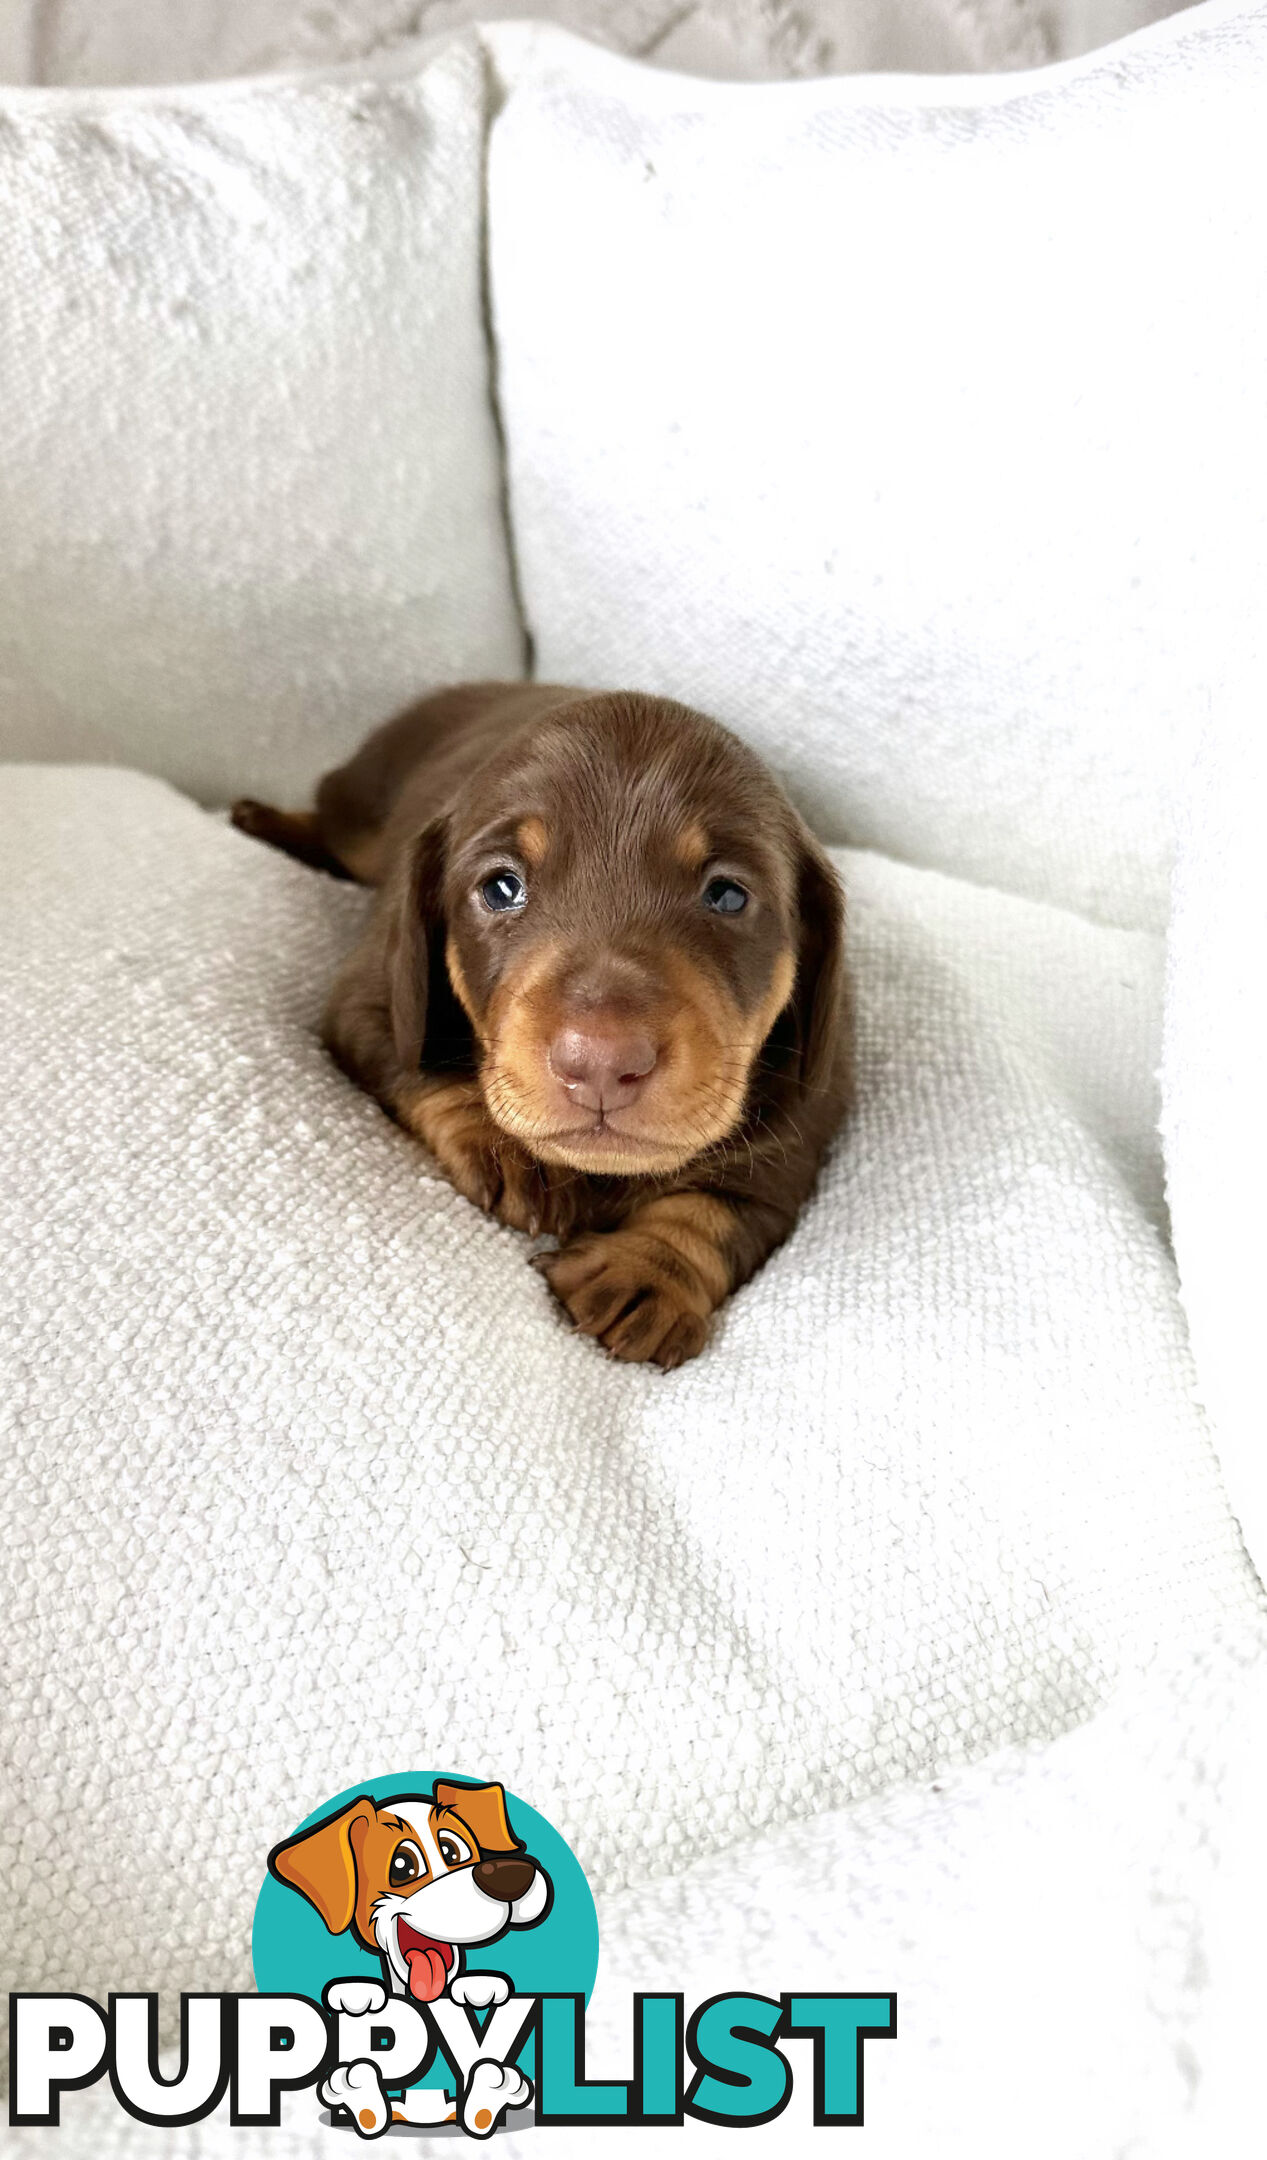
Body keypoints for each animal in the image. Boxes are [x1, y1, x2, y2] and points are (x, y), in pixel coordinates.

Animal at [237, 682, 854, 1365]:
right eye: (501, 888)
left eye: (728, 895)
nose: (602, 1063)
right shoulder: (370, 1001)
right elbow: (417, 1067)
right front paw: (504, 1146)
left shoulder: (808, 1109)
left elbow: (725, 1206)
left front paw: (647, 1271)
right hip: (364, 804)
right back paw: (262, 819)